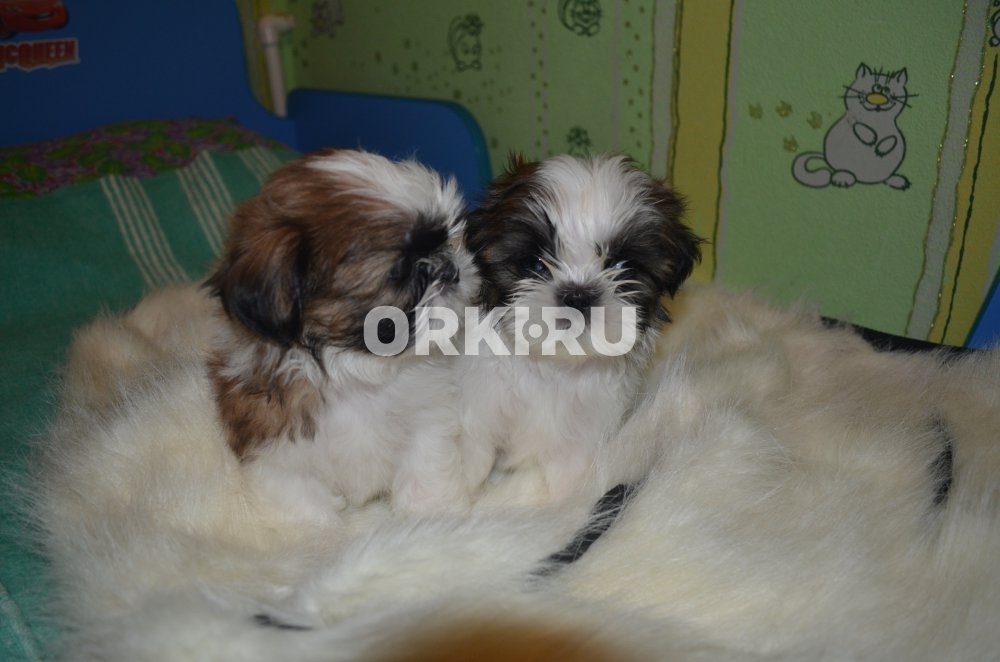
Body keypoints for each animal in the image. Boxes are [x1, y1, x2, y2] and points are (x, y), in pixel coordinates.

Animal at [206, 148, 480, 521]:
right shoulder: (276, 456)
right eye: (399, 271)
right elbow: (308, 507)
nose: (451, 268)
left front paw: (433, 517)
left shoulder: (426, 422)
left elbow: (425, 470)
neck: (352, 372)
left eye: (447, 241)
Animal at [456, 154, 702, 504]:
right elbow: (470, 461)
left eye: (621, 266)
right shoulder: (479, 409)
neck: (555, 366)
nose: (577, 294)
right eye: (535, 264)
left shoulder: (580, 439)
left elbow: (566, 482)